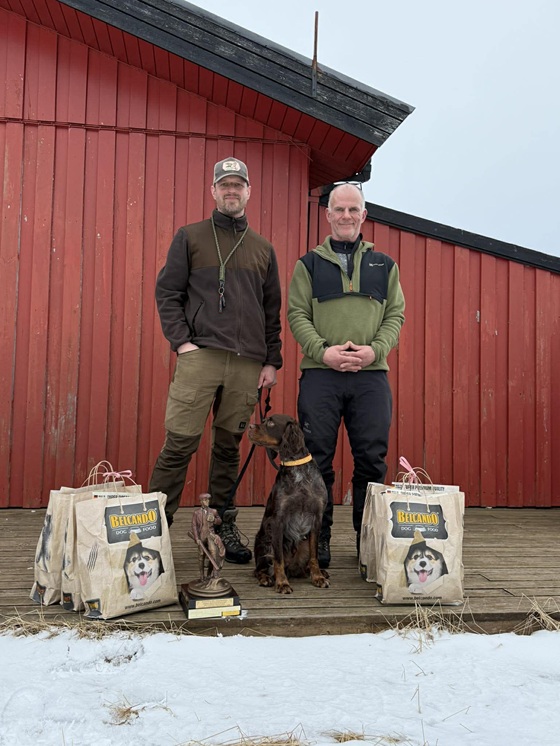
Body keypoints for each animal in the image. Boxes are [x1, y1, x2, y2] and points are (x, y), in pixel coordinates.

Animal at [247, 414, 329, 594]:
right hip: (263, 539)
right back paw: (265, 578)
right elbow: (278, 559)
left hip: (302, 543)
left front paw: (318, 577)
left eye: (271, 422)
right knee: (259, 569)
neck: (298, 471)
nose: (249, 426)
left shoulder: (316, 518)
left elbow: (314, 555)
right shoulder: (277, 520)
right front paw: (282, 583)